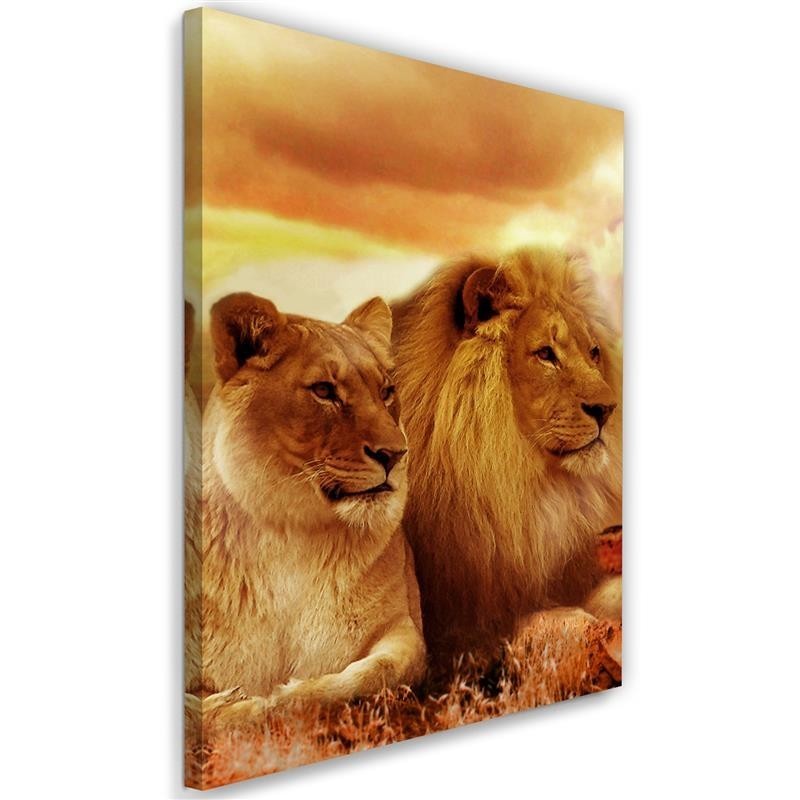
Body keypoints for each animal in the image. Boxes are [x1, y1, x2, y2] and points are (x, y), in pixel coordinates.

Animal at [185, 292, 426, 717]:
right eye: (324, 391)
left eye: (386, 392)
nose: (396, 454)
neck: (292, 533)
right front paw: (231, 707)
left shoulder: (404, 628)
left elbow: (374, 673)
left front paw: (280, 699)